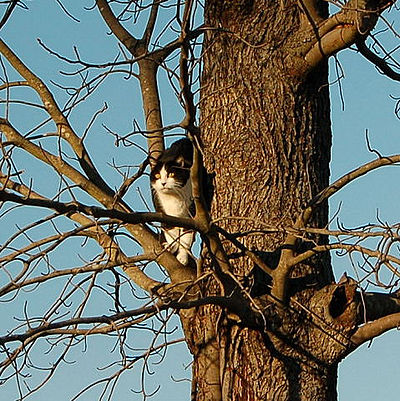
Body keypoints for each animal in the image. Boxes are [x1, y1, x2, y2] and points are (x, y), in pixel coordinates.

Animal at [150, 138, 195, 266]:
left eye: (171, 174)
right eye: (157, 175)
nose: (163, 183)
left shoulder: (191, 216)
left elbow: (186, 238)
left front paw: (182, 258)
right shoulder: (164, 213)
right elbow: (171, 231)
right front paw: (171, 246)